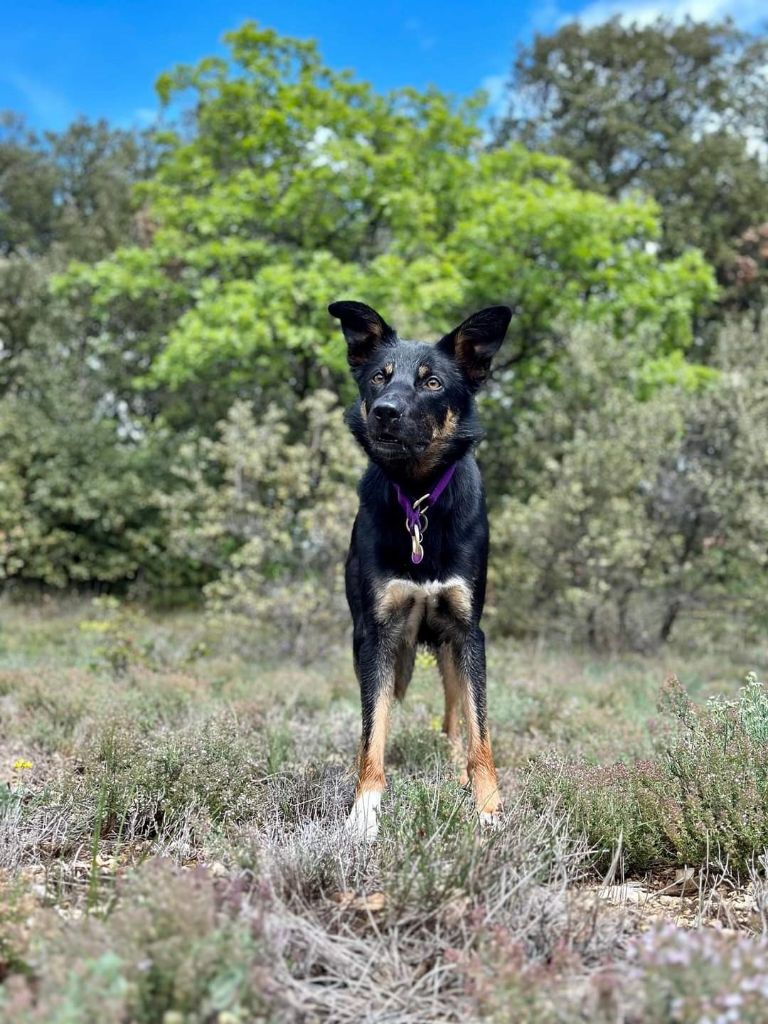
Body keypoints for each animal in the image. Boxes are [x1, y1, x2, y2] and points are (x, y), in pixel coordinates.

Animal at [329, 299, 514, 839]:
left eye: (432, 382)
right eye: (378, 377)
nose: (386, 412)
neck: (418, 496)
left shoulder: (468, 632)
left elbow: (479, 731)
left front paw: (488, 807)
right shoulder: (377, 636)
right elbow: (372, 731)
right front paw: (364, 809)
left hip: (451, 649)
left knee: (455, 718)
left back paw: (457, 770)